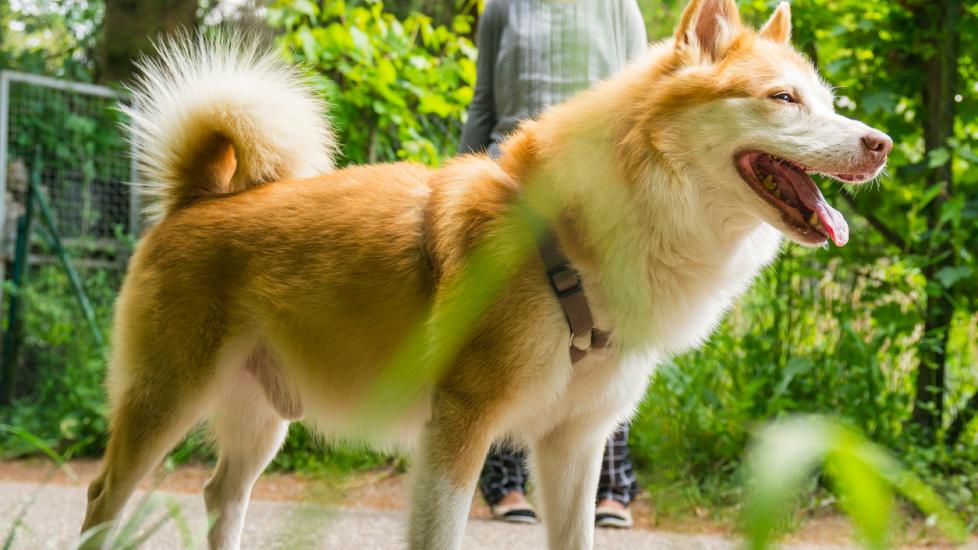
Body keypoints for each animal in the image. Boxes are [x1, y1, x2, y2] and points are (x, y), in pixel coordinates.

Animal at [80, 1, 888, 550]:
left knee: (221, 495)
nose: (880, 143)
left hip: (261, 419)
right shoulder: (458, 428)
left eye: (829, 103)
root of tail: (199, 197)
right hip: (164, 400)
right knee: (103, 496)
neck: (579, 238)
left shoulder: (574, 447)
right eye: (783, 99)